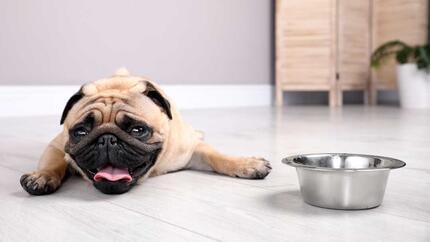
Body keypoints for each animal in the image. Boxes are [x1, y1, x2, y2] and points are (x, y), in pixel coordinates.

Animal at [20, 68, 272, 195]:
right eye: (80, 132)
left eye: (138, 130)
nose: (107, 139)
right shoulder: (57, 145)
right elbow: (54, 162)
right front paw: (42, 176)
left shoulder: (190, 150)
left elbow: (217, 157)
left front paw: (247, 164)